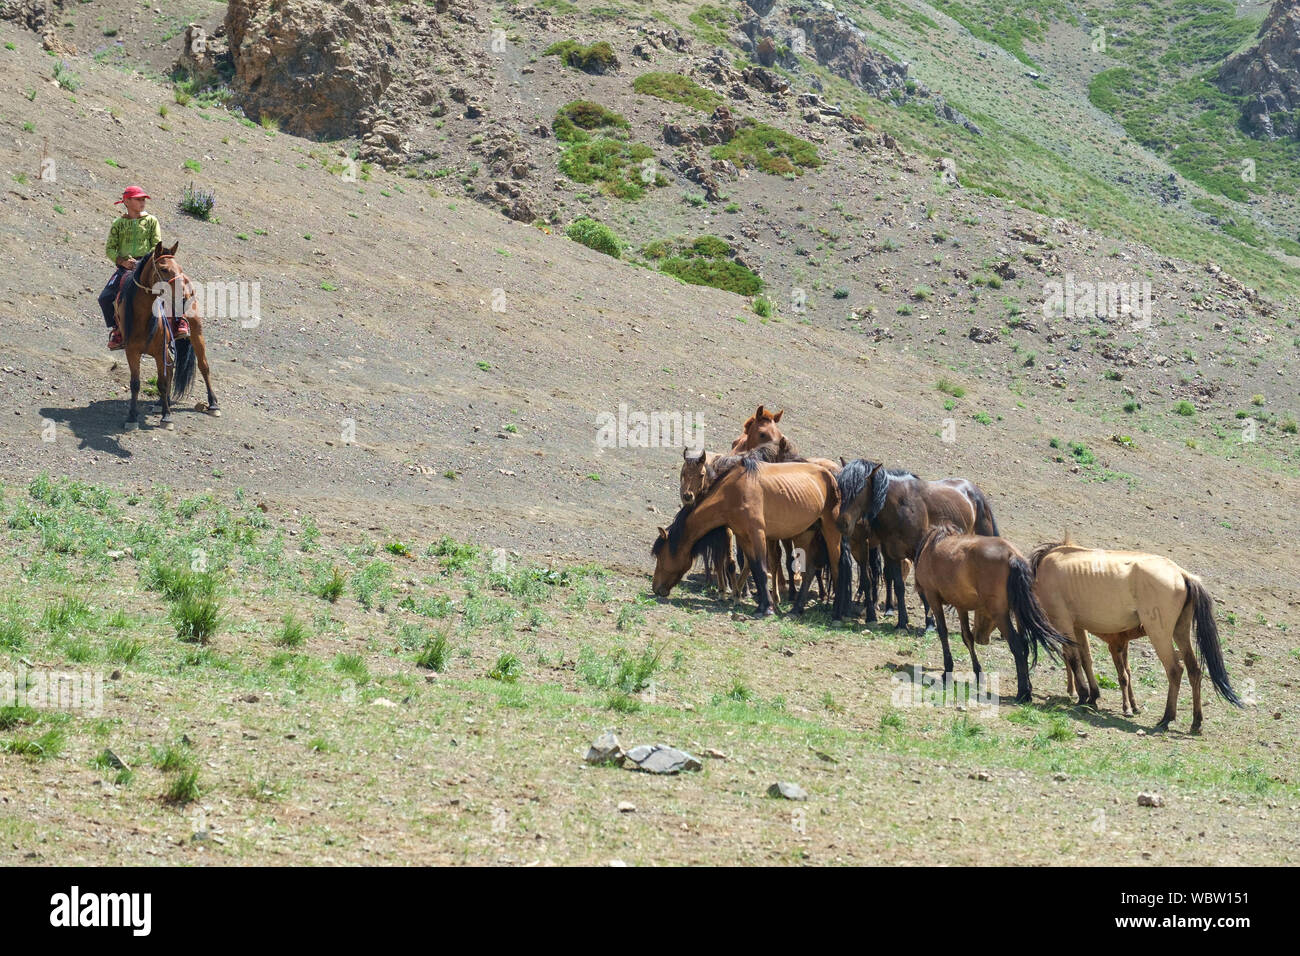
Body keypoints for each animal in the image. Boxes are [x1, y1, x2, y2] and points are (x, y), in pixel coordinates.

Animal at [116, 242, 219, 430]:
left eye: (179, 268)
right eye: (163, 269)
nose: (184, 297)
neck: (143, 319)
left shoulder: (159, 352)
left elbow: (162, 382)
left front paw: (166, 417)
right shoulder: (131, 352)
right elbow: (135, 384)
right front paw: (132, 417)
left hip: (196, 333)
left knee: (204, 366)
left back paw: (213, 404)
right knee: (171, 369)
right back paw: (162, 403)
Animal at [652, 458, 841, 616]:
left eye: (660, 556)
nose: (655, 588)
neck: (731, 493)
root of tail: (831, 476)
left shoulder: (757, 534)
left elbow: (761, 568)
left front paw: (767, 608)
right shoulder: (743, 536)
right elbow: (754, 568)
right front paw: (761, 604)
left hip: (831, 532)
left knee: (836, 567)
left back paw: (837, 613)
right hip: (806, 534)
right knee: (810, 570)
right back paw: (796, 609)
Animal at [832, 460, 999, 628]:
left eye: (860, 489)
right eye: (841, 488)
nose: (841, 523)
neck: (900, 506)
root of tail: (974, 491)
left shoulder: (917, 551)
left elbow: (922, 587)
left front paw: (930, 623)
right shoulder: (891, 552)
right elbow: (898, 585)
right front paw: (902, 623)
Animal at [914, 526, 1069, 704]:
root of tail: (1012, 555)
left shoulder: (933, 597)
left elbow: (943, 633)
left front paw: (947, 672)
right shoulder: (961, 605)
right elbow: (967, 637)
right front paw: (978, 674)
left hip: (1000, 614)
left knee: (1016, 644)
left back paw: (1022, 693)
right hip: (1018, 612)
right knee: (1024, 644)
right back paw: (1027, 688)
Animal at [1030, 540, 1242, 732]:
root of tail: (1182, 574)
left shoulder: (1064, 622)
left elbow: (1074, 659)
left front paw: (1083, 695)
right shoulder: (1078, 627)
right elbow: (1085, 660)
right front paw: (1092, 696)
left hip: (1159, 635)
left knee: (1175, 670)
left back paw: (1167, 718)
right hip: (1180, 632)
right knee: (1194, 671)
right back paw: (1196, 722)